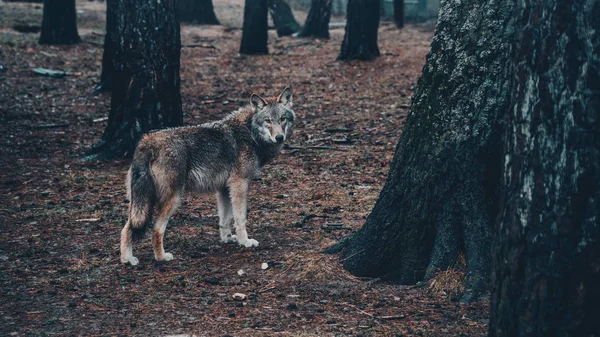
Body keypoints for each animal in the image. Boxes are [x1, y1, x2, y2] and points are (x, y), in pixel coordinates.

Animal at [120, 87, 296, 266]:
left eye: (282, 119)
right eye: (268, 120)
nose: (279, 137)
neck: (250, 133)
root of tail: (146, 142)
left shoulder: (224, 189)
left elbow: (224, 220)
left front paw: (227, 239)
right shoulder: (240, 184)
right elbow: (240, 218)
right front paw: (245, 241)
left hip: (141, 203)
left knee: (127, 228)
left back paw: (127, 259)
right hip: (172, 199)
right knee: (155, 230)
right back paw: (161, 257)